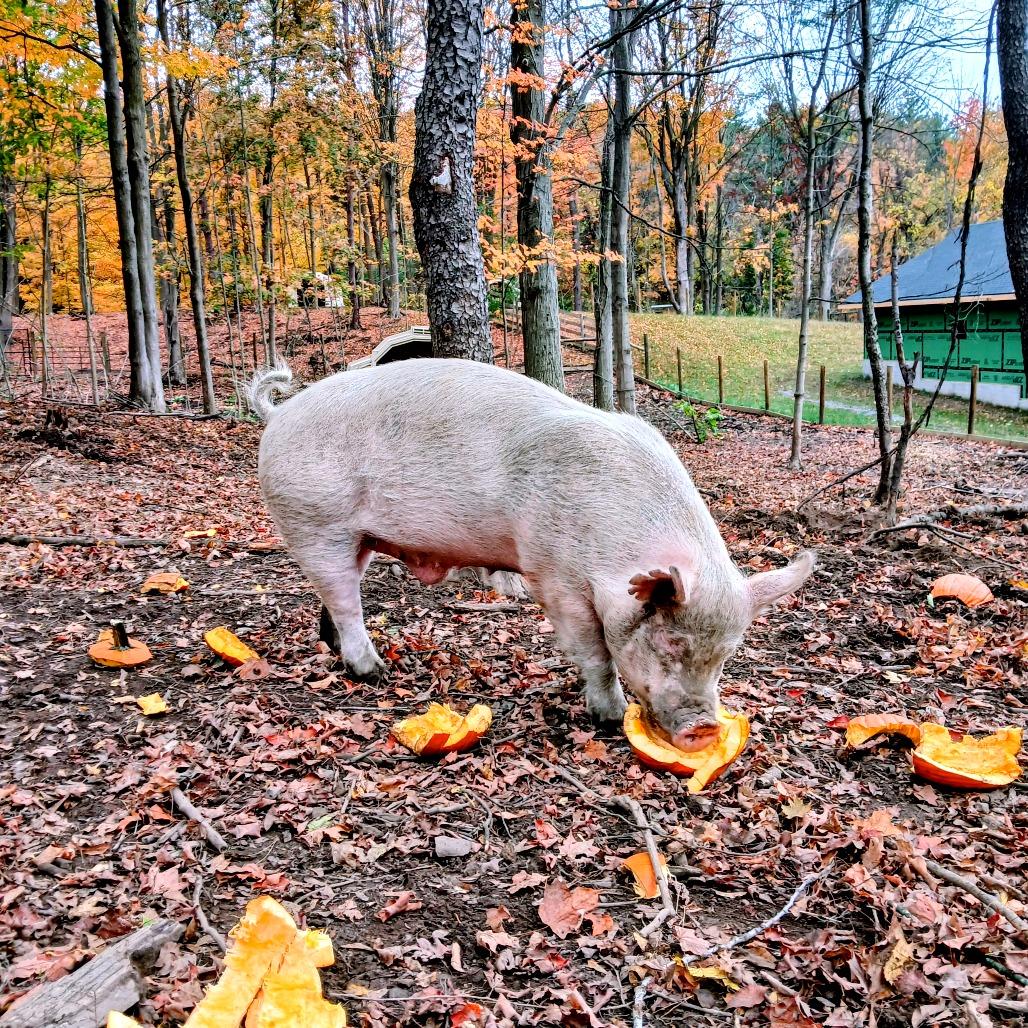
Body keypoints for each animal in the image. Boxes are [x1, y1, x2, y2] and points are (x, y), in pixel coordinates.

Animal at [249, 358, 814, 751]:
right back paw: (374, 672)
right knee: (345, 601)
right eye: (669, 644)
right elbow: (595, 652)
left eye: (726, 656)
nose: (703, 728)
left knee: (337, 598)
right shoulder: (555, 575)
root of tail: (279, 412)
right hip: (315, 522)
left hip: (354, 536)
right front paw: (609, 719)